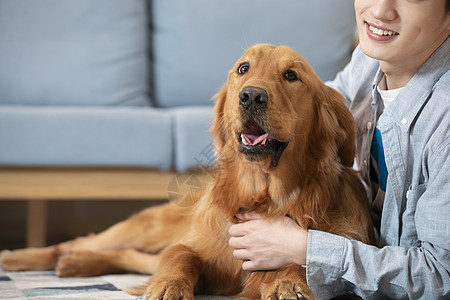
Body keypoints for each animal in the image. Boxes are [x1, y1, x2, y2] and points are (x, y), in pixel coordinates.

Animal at [0, 44, 372, 300]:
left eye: (291, 75)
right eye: (243, 68)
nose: (251, 96)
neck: (263, 194)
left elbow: (302, 258)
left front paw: (287, 282)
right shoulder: (197, 247)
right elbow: (181, 257)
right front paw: (168, 286)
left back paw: (75, 264)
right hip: (145, 229)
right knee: (86, 242)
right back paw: (22, 258)